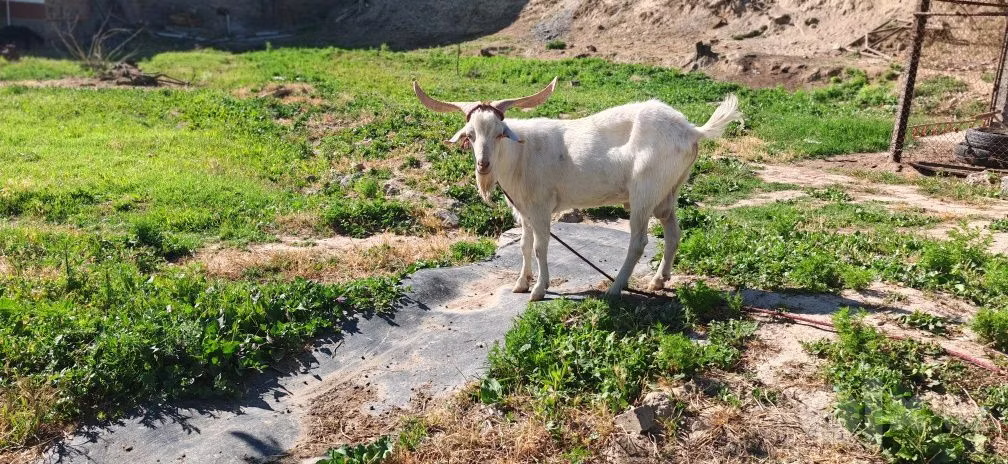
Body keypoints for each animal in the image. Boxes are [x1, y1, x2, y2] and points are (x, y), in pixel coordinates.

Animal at [414, 78, 741, 301]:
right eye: (470, 135)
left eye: (499, 134)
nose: (483, 165)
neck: (521, 154)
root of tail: (691, 130)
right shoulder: (524, 209)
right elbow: (523, 245)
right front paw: (521, 284)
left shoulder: (541, 207)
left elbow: (540, 246)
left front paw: (538, 290)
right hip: (667, 193)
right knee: (673, 233)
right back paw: (658, 281)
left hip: (644, 192)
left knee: (638, 241)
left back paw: (615, 288)